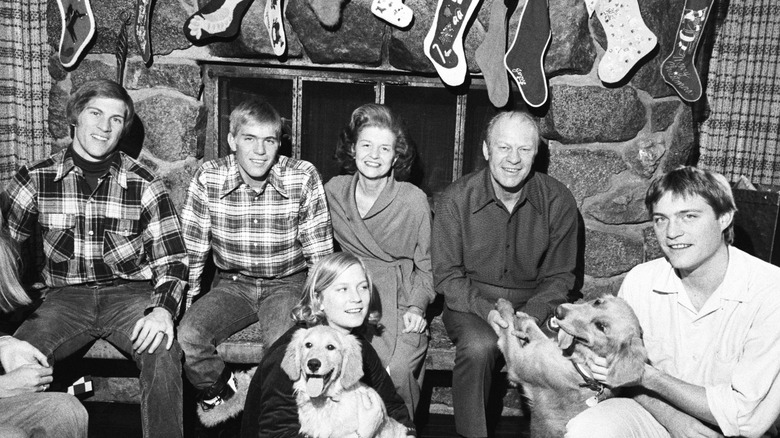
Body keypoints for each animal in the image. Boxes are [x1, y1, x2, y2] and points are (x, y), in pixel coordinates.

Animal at [496, 294, 648, 438]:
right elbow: (533, 328)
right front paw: (525, 319)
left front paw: (505, 306)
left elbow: (507, 324)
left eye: (601, 326)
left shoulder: (516, 363)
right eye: (597, 302)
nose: (558, 311)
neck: (582, 366)